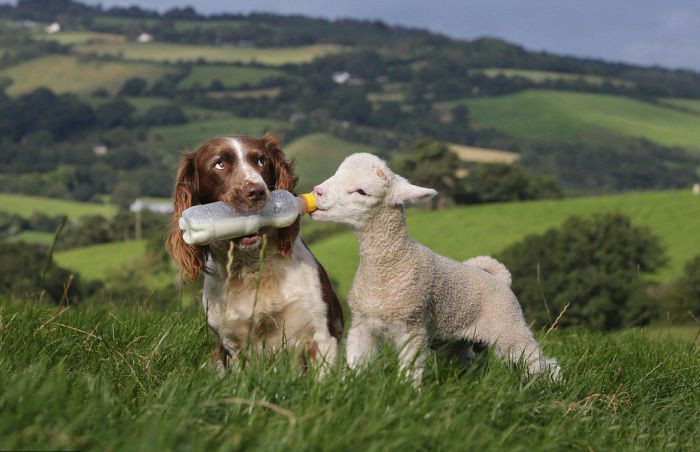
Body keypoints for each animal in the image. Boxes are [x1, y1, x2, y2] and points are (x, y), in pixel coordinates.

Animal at [308, 154, 560, 384]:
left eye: (361, 192)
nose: (317, 192)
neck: (390, 266)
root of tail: (500, 279)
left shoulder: (412, 327)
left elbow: (410, 371)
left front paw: (408, 394)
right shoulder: (362, 325)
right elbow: (355, 363)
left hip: (508, 326)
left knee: (537, 361)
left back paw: (550, 384)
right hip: (456, 341)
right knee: (466, 362)